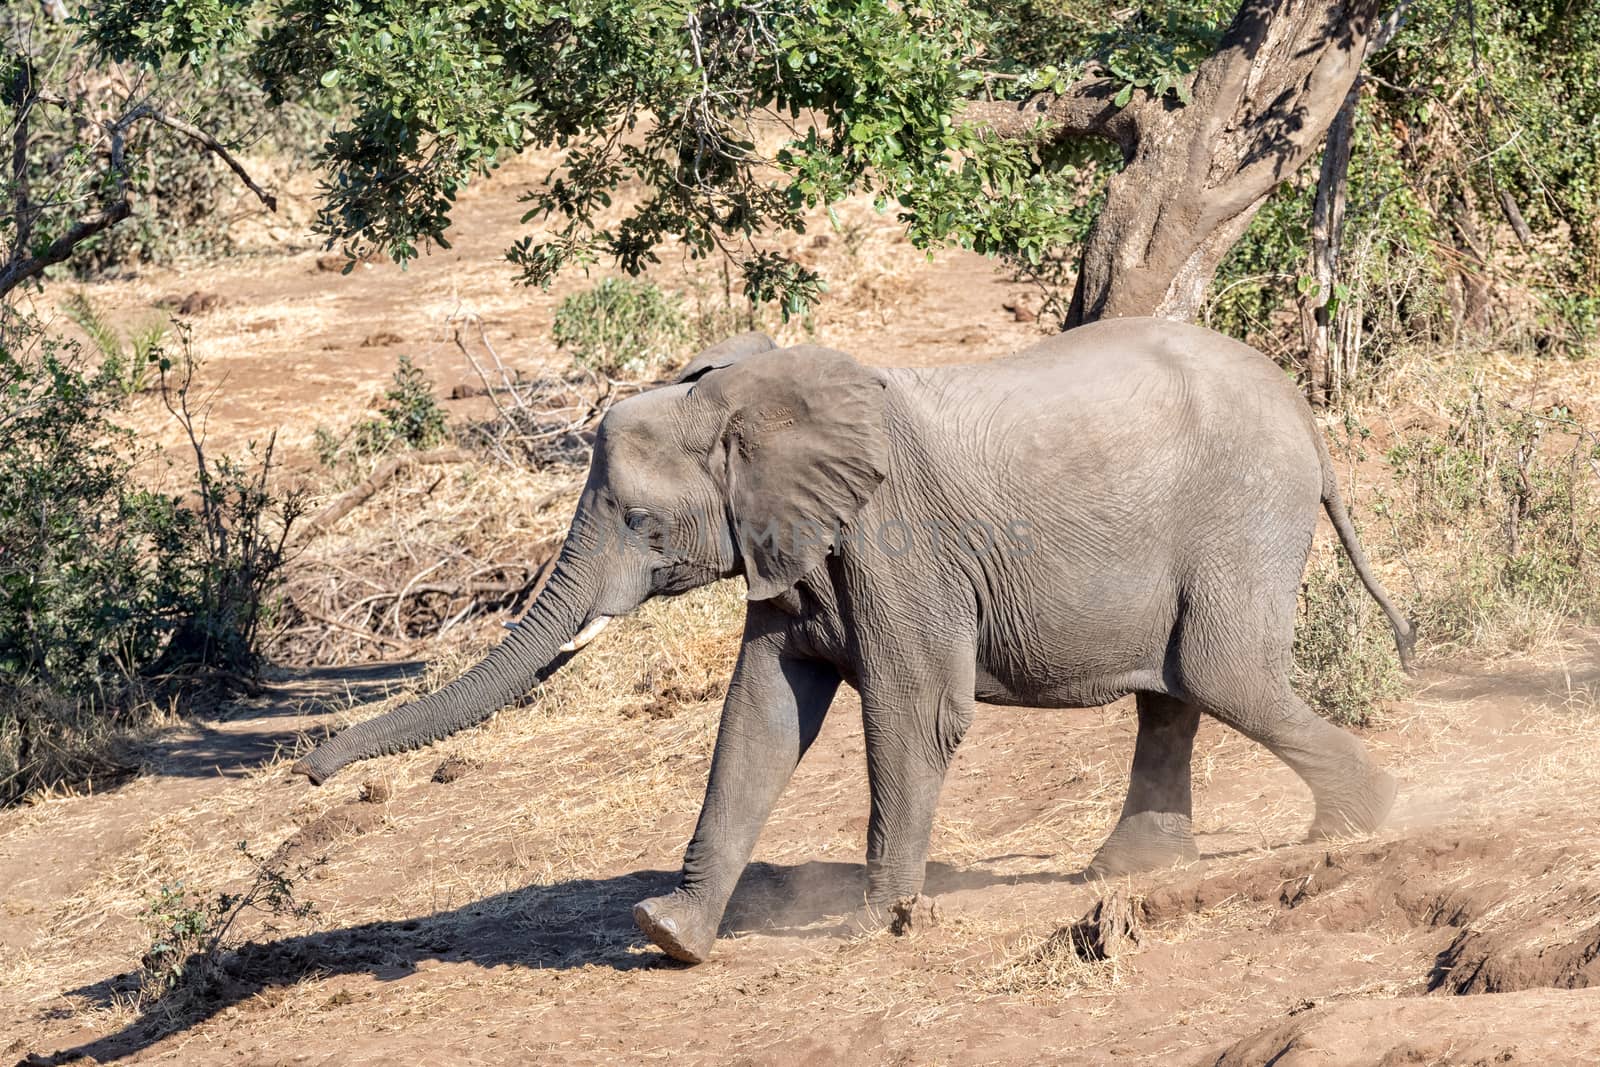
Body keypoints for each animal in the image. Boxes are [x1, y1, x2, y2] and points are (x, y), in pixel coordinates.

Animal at [291, 315, 1414, 966]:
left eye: (642, 524)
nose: (307, 768)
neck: (740, 395)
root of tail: (1308, 421)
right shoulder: (790, 543)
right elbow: (760, 716)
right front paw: (669, 932)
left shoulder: (895, 541)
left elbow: (916, 708)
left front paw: (874, 923)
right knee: (1177, 689)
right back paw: (1127, 869)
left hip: (1242, 511)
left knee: (1224, 675)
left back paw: (1362, 819)